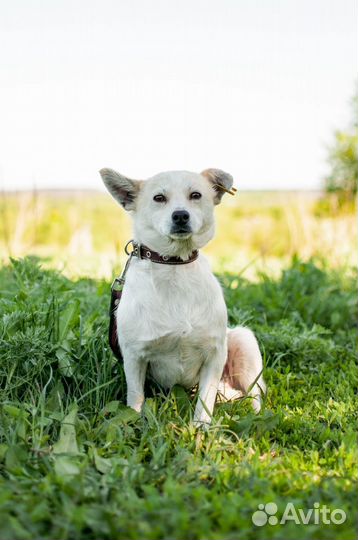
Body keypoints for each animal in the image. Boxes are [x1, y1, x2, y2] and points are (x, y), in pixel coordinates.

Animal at [99, 169, 264, 426]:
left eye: (195, 195)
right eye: (158, 198)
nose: (180, 216)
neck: (175, 267)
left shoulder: (215, 356)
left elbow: (204, 402)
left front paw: (200, 429)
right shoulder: (134, 357)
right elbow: (135, 399)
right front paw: (134, 425)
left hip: (243, 341)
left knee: (255, 395)